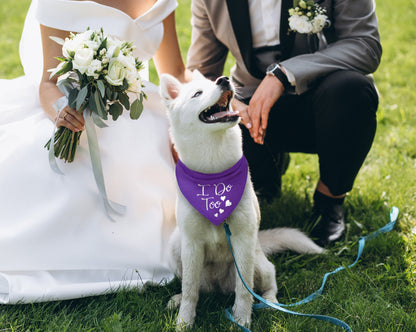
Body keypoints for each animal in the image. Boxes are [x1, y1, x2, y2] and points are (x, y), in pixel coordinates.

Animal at [159, 72, 324, 330]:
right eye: (197, 93)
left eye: (213, 82)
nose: (224, 79)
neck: (214, 175)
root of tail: (218, 286)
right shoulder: (192, 244)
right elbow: (190, 291)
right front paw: (184, 321)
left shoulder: (242, 240)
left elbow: (245, 291)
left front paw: (242, 319)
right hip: (178, 246)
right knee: (197, 288)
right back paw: (177, 299)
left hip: (256, 261)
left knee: (267, 282)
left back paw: (270, 303)